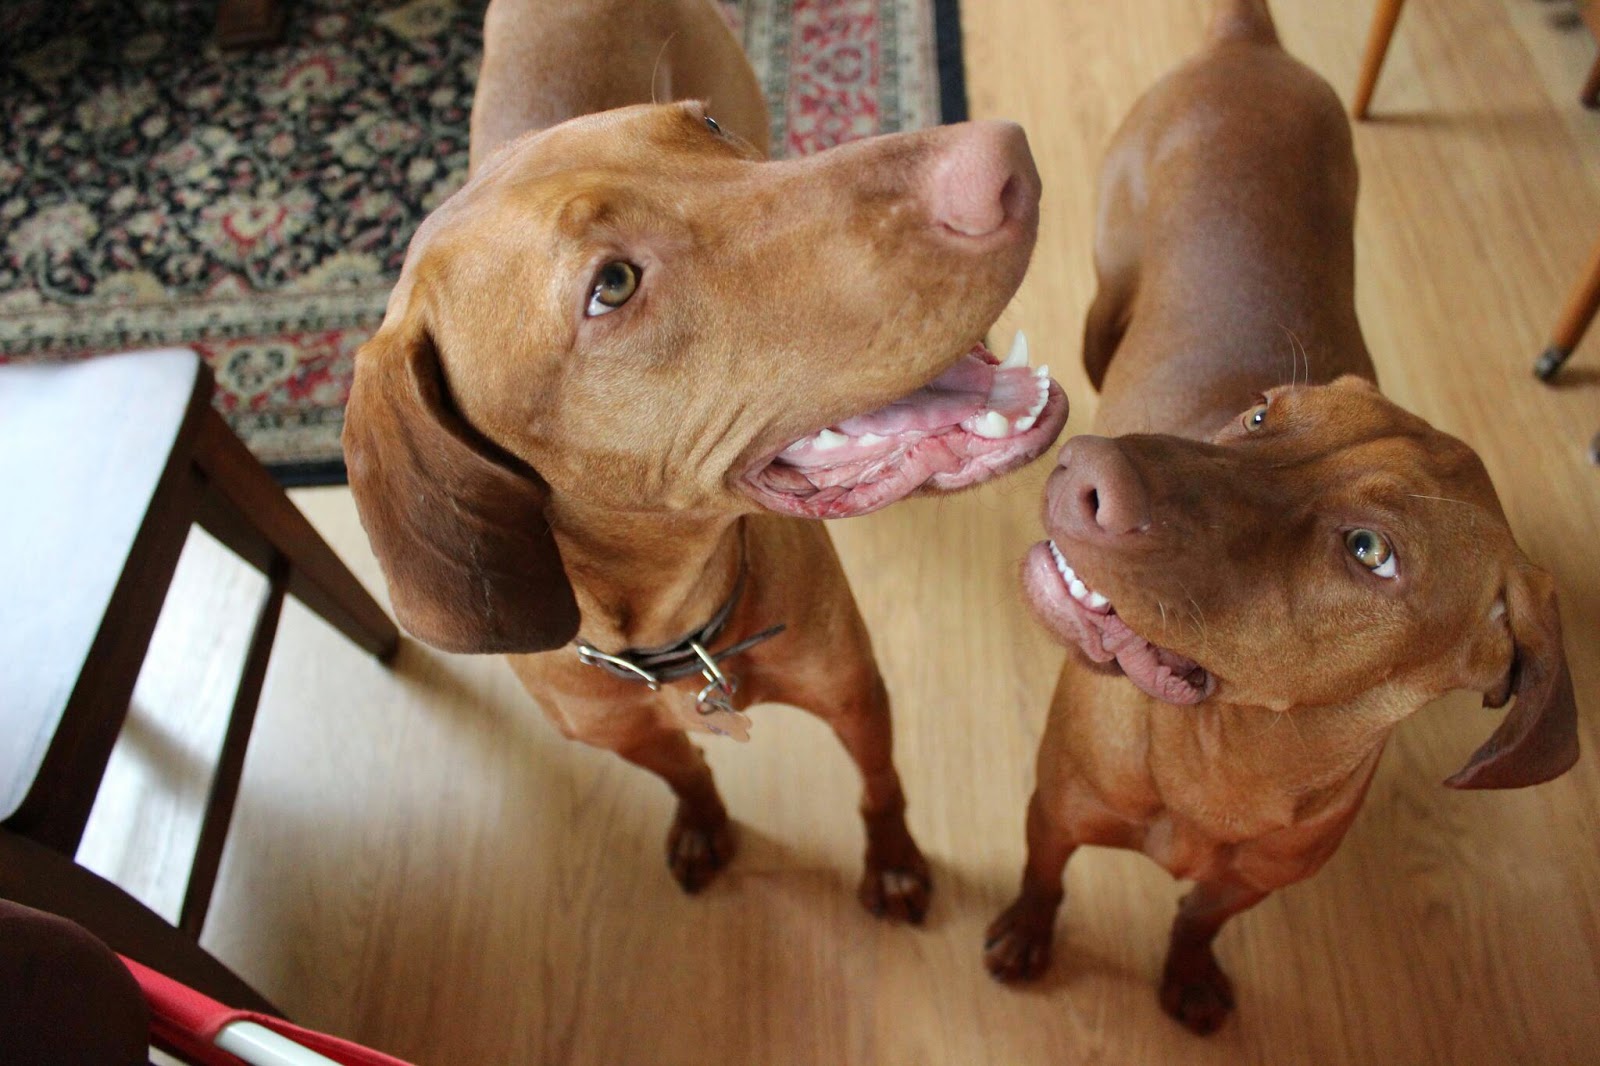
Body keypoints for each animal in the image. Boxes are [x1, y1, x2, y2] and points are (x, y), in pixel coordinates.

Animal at [341, 0, 1069, 922]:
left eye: (706, 128)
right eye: (612, 285)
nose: (1005, 158)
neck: (669, 634)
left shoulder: (853, 688)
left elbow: (880, 785)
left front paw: (895, 862)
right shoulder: (624, 738)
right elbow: (685, 774)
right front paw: (702, 823)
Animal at [982, 0, 1579, 1032]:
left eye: (1371, 550)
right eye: (1262, 416)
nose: (1086, 468)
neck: (1220, 760)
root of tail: (1249, 46)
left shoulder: (1253, 881)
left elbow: (1198, 919)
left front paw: (1186, 975)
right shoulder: (1055, 808)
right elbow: (1043, 877)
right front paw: (1025, 932)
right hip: (1106, 301)